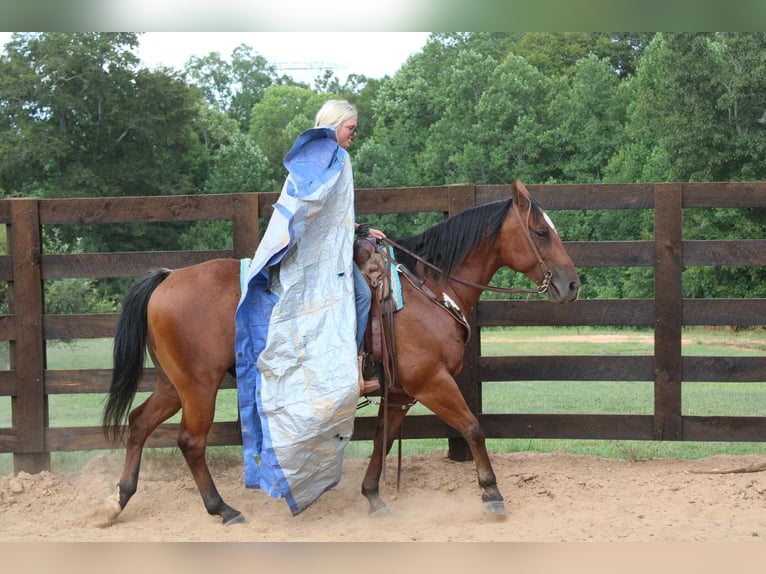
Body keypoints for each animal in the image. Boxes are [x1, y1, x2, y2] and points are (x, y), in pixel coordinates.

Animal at [99, 179, 580, 526]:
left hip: (173, 383)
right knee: (190, 441)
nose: (572, 284)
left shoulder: (401, 392)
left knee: (139, 424)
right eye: (541, 232)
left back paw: (118, 501)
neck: (429, 288)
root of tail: (167, 277)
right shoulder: (432, 382)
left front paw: (373, 497)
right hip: (199, 386)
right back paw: (223, 509)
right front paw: (492, 494)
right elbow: (474, 428)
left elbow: (384, 440)